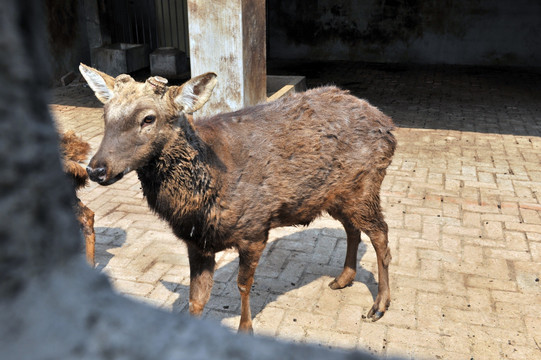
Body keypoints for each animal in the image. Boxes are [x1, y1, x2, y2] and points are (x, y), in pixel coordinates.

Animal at [78, 62, 394, 334]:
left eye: (148, 118)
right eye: (106, 115)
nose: (96, 169)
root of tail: (388, 125)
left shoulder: (255, 229)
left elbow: (243, 286)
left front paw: (246, 329)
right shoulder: (197, 242)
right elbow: (196, 298)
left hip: (367, 185)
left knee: (380, 234)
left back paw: (379, 305)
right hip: (338, 196)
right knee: (353, 230)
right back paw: (343, 279)